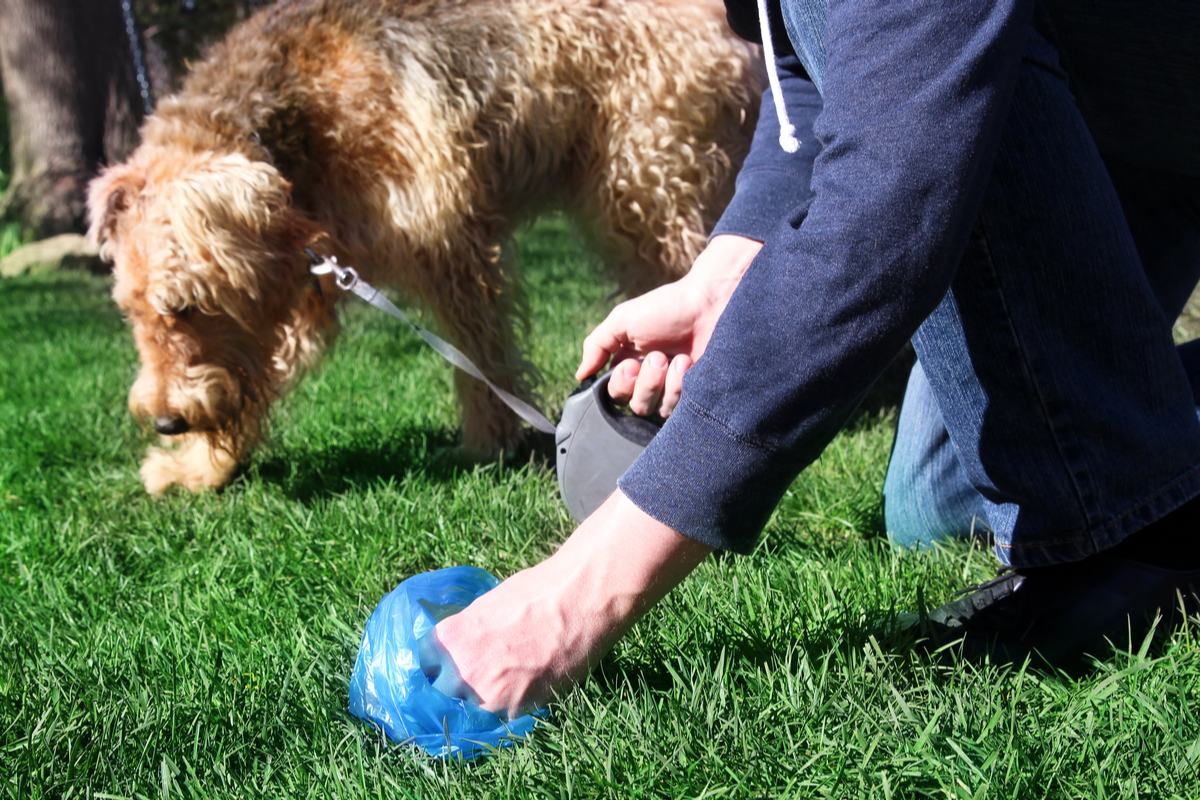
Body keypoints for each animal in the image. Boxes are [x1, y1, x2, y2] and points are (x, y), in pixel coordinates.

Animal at [87, 0, 758, 494]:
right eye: (132, 311)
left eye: (186, 305)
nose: (167, 420)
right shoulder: (307, 283)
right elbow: (259, 378)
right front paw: (200, 468)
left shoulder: (447, 240)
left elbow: (480, 353)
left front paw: (490, 443)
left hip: (646, 185)